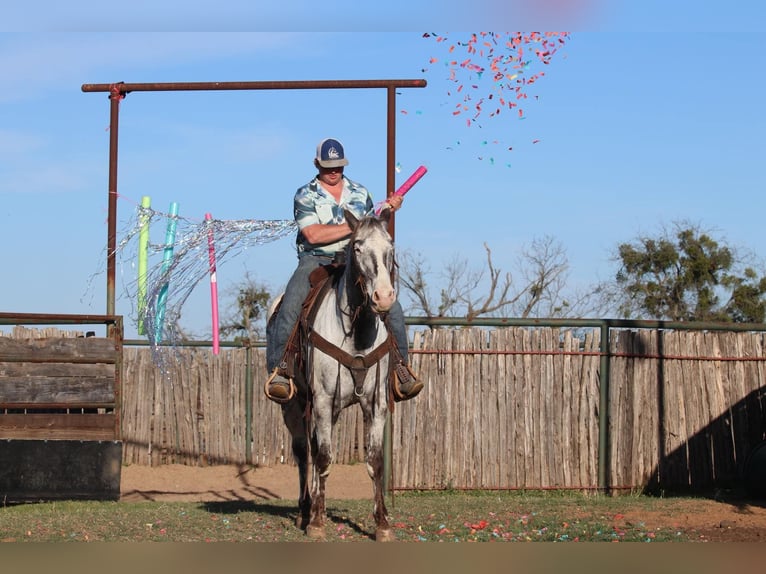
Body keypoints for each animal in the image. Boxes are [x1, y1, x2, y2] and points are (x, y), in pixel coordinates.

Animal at [276, 208, 398, 541]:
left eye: (390, 247)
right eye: (357, 246)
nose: (384, 297)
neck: (356, 333)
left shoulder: (376, 403)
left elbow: (374, 461)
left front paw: (382, 524)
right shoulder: (321, 399)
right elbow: (322, 457)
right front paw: (317, 523)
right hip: (295, 405)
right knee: (305, 452)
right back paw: (306, 511)